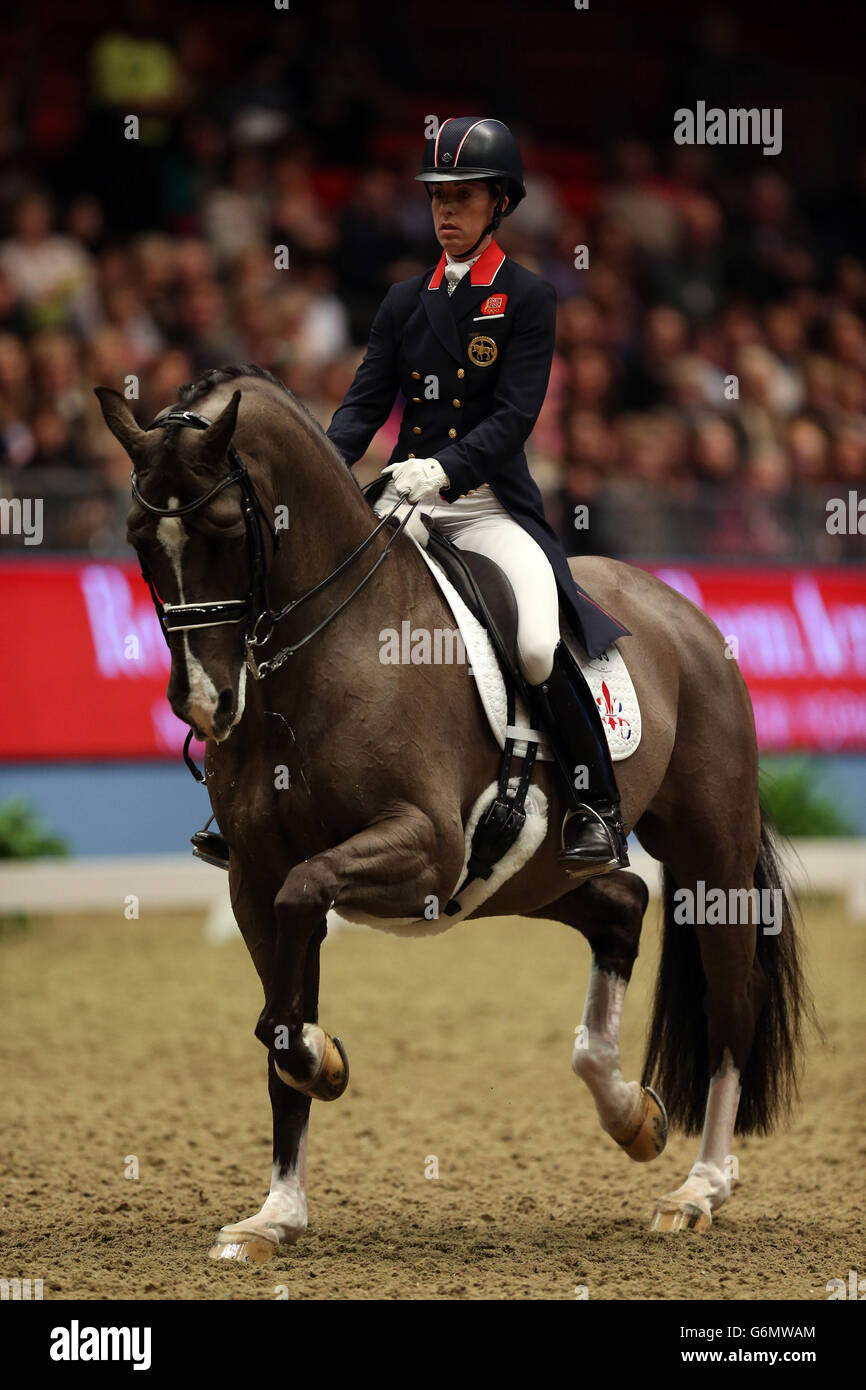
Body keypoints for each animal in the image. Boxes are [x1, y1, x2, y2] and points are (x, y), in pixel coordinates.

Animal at [96, 366, 811, 1262]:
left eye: (225, 530)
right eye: (138, 540)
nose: (203, 703)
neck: (326, 651)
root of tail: (678, 606)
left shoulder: (422, 848)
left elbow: (302, 929)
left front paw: (324, 1064)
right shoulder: (254, 878)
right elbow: (281, 1016)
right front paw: (276, 1213)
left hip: (709, 853)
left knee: (728, 1004)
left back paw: (699, 1189)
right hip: (523, 875)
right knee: (621, 904)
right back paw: (630, 1114)